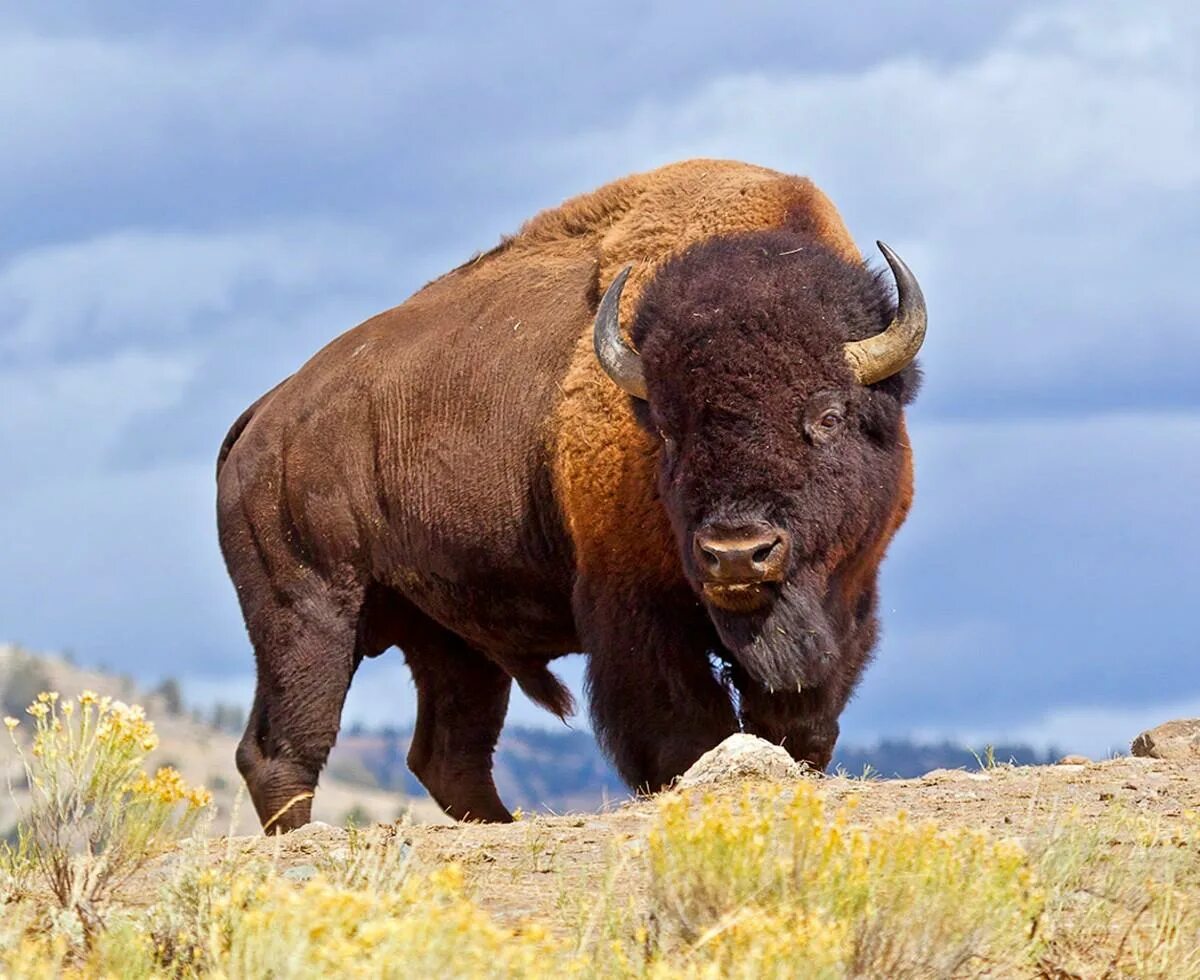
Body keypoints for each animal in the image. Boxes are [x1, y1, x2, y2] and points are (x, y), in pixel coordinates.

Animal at [218, 158, 926, 825]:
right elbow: (686, 735)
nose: (735, 553)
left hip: (448, 640)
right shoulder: (635, 613)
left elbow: (800, 726)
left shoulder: (845, 605)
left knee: (447, 752)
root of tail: (265, 415)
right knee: (285, 747)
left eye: (828, 416)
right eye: (666, 428)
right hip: (309, 613)